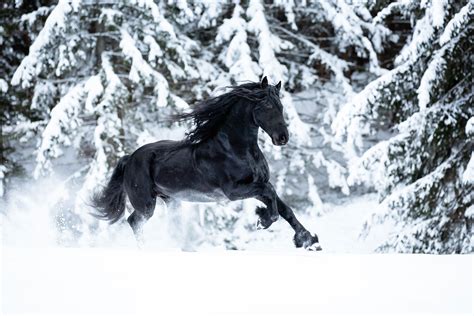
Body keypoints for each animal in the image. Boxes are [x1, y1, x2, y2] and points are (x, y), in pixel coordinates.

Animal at [91, 76, 322, 249]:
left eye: (280, 106)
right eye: (265, 105)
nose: (283, 137)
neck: (236, 150)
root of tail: (130, 158)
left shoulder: (256, 185)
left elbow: (284, 208)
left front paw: (308, 241)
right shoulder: (234, 191)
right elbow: (271, 196)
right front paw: (262, 220)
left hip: (171, 200)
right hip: (146, 204)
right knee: (134, 221)